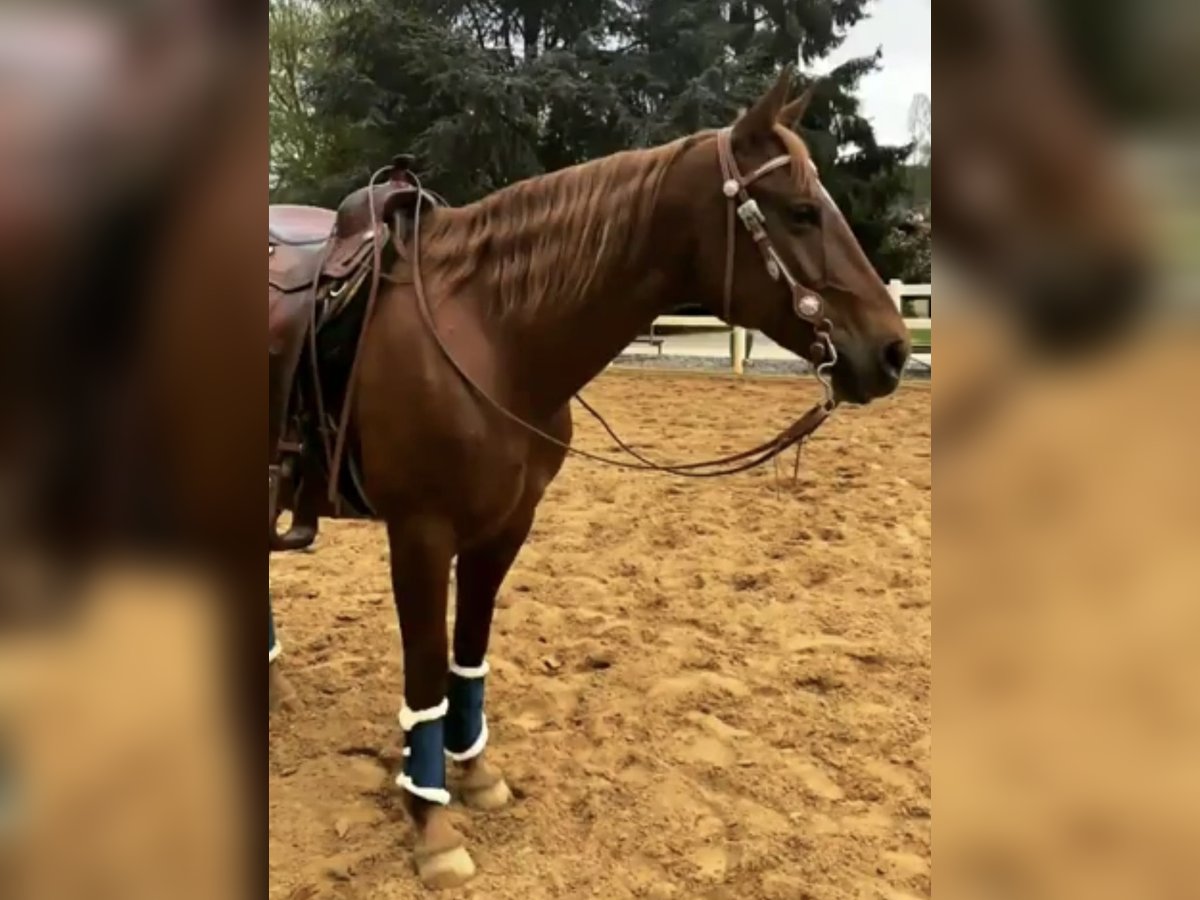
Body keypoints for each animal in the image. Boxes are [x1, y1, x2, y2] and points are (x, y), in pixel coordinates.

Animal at [271, 66, 910, 888]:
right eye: (800, 212)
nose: (894, 351)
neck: (491, 333)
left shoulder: (505, 527)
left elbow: (467, 652)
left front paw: (476, 777)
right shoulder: (420, 534)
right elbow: (425, 672)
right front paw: (432, 824)